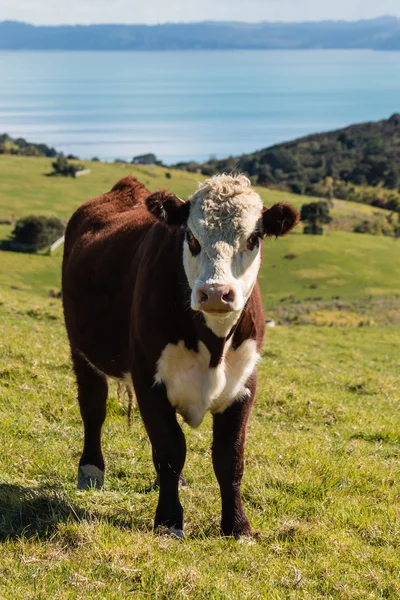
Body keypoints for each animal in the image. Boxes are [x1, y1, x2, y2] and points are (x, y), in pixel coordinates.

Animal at [62, 173, 298, 540]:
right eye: (190, 237)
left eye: (253, 238)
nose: (215, 293)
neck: (214, 346)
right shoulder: (148, 379)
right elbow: (170, 449)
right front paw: (170, 519)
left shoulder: (244, 385)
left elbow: (230, 457)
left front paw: (237, 525)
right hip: (81, 348)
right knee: (93, 407)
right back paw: (91, 470)